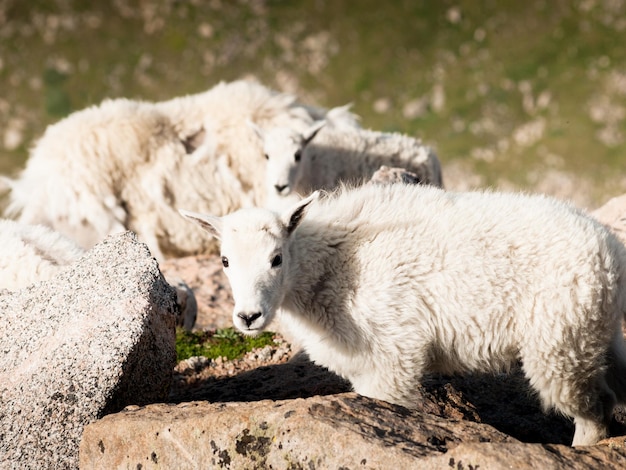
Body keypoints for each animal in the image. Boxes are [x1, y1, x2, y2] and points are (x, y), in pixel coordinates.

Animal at [183, 183, 624, 444]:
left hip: (560, 339)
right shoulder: (363, 363)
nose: (248, 317)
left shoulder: (392, 352)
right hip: (592, 331)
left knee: (593, 411)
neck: (329, 265)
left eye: (276, 258)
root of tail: (611, 252)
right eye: (224, 260)